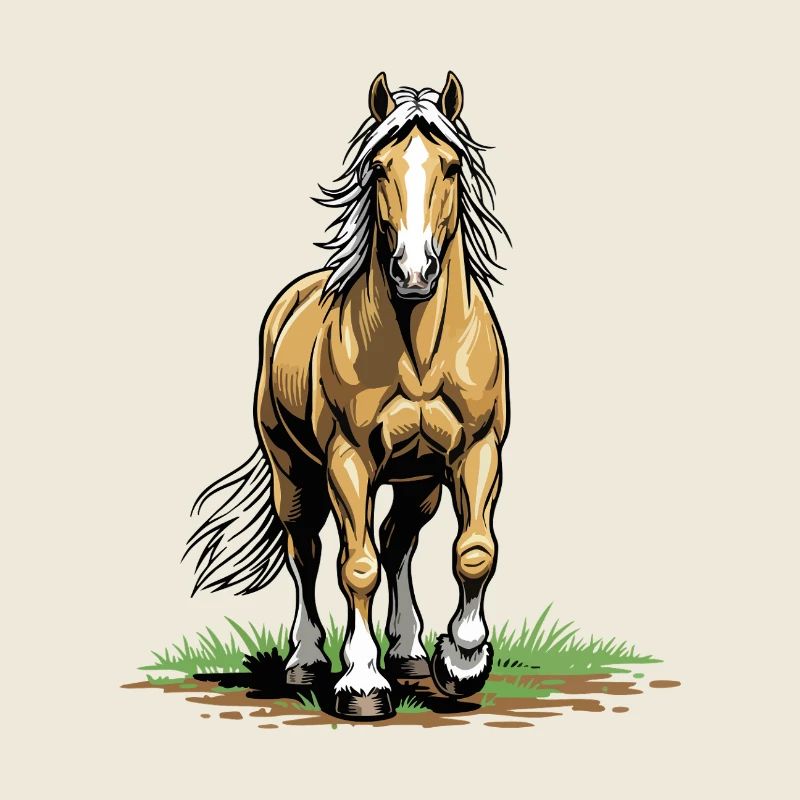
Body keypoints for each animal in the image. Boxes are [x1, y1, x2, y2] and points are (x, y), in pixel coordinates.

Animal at [185, 72, 510, 720]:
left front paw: (461, 660)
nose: (414, 272)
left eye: (452, 165)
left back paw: (408, 653)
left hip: (417, 480)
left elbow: (473, 551)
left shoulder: (477, 452)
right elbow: (355, 567)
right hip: (294, 471)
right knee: (307, 551)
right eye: (379, 167)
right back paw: (308, 659)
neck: (419, 351)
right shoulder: (348, 461)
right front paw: (361, 683)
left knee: (399, 542)